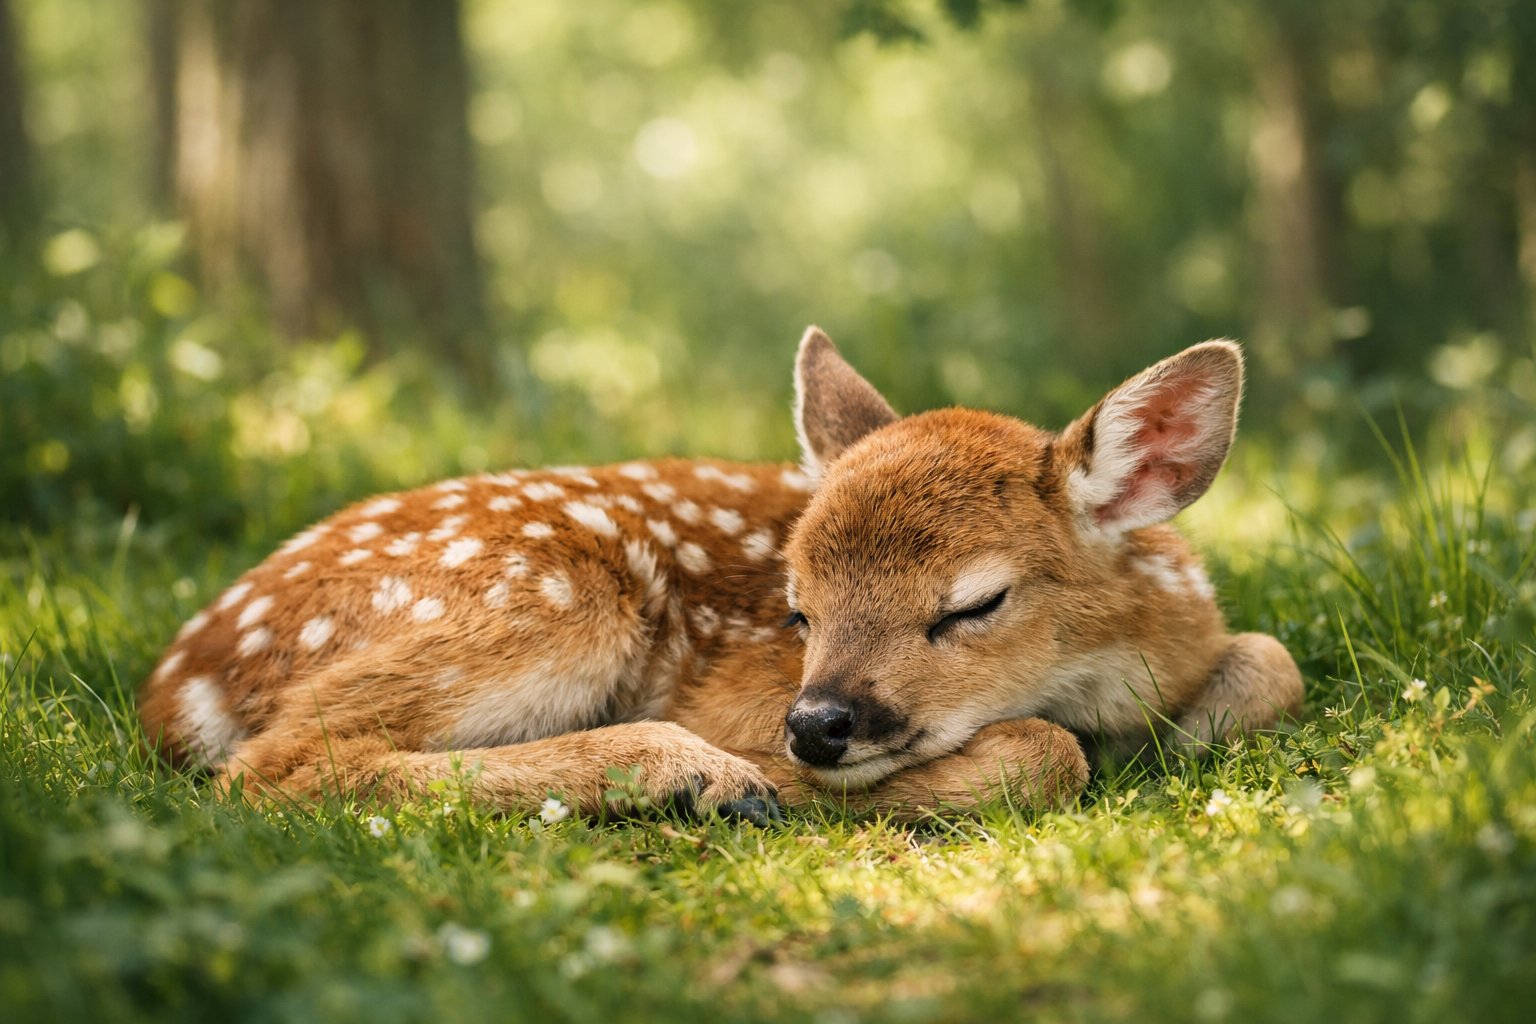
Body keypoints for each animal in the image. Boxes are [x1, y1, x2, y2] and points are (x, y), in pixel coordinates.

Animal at [139, 328, 1303, 824]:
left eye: (974, 603)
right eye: (797, 609)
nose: (817, 726)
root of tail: (179, 685)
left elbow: (1272, 661)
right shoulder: (731, 688)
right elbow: (1045, 750)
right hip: (551, 596)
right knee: (281, 764)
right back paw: (692, 776)